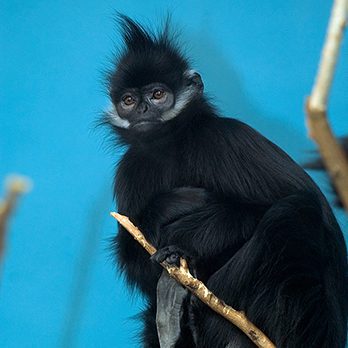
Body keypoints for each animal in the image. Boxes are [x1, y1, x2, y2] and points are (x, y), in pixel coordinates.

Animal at [106, 16, 348, 348]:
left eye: (157, 95)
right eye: (128, 100)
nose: (143, 110)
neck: (171, 145)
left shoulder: (227, 138)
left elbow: (286, 204)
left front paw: (185, 231)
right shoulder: (129, 170)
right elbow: (137, 263)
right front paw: (168, 207)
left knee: (295, 211)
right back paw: (172, 318)